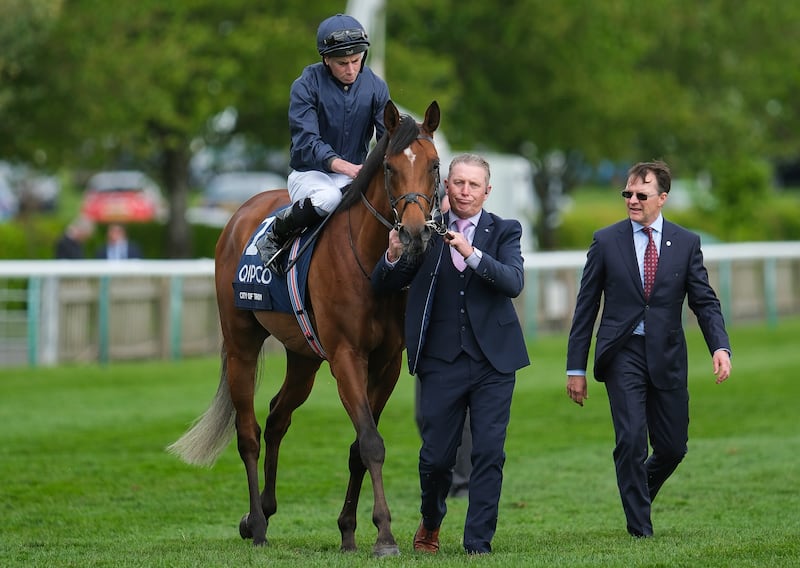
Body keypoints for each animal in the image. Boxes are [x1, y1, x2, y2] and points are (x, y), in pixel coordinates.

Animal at [170, 100, 444, 556]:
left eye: (435, 166)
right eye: (389, 167)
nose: (414, 234)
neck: (371, 267)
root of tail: (239, 214)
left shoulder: (386, 362)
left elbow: (359, 446)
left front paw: (349, 531)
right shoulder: (347, 356)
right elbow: (371, 442)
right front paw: (384, 535)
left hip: (303, 357)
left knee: (278, 416)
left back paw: (262, 510)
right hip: (242, 344)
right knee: (249, 432)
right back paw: (257, 524)